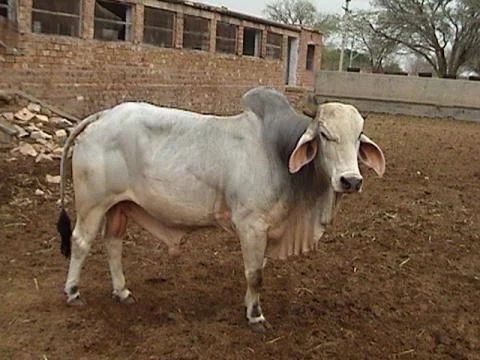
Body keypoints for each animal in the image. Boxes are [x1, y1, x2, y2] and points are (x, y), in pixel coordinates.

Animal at [57, 87, 386, 332]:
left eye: (358, 137)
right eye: (326, 135)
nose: (350, 180)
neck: (277, 153)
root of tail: (102, 116)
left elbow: (258, 268)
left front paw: (248, 305)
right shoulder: (251, 225)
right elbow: (255, 274)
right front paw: (256, 316)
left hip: (119, 206)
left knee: (113, 244)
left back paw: (122, 292)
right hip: (93, 204)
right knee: (81, 242)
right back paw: (73, 293)